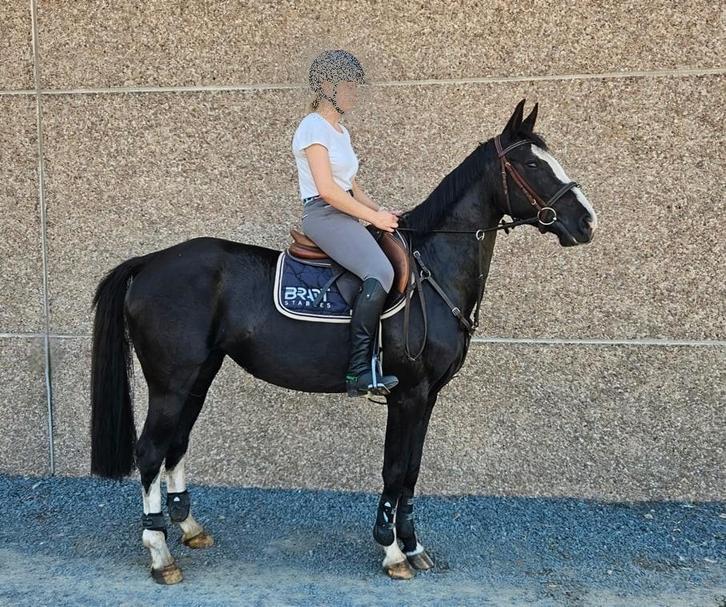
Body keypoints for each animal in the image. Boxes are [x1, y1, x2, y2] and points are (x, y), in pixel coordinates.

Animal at [90, 99, 597, 584]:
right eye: (531, 164)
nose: (587, 223)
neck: (433, 267)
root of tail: (149, 262)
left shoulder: (428, 396)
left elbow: (412, 470)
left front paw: (413, 546)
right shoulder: (409, 393)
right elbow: (395, 469)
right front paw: (393, 552)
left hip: (198, 376)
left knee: (176, 444)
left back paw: (190, 529)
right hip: (171, 382)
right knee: (150, 452)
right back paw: (160, 554)